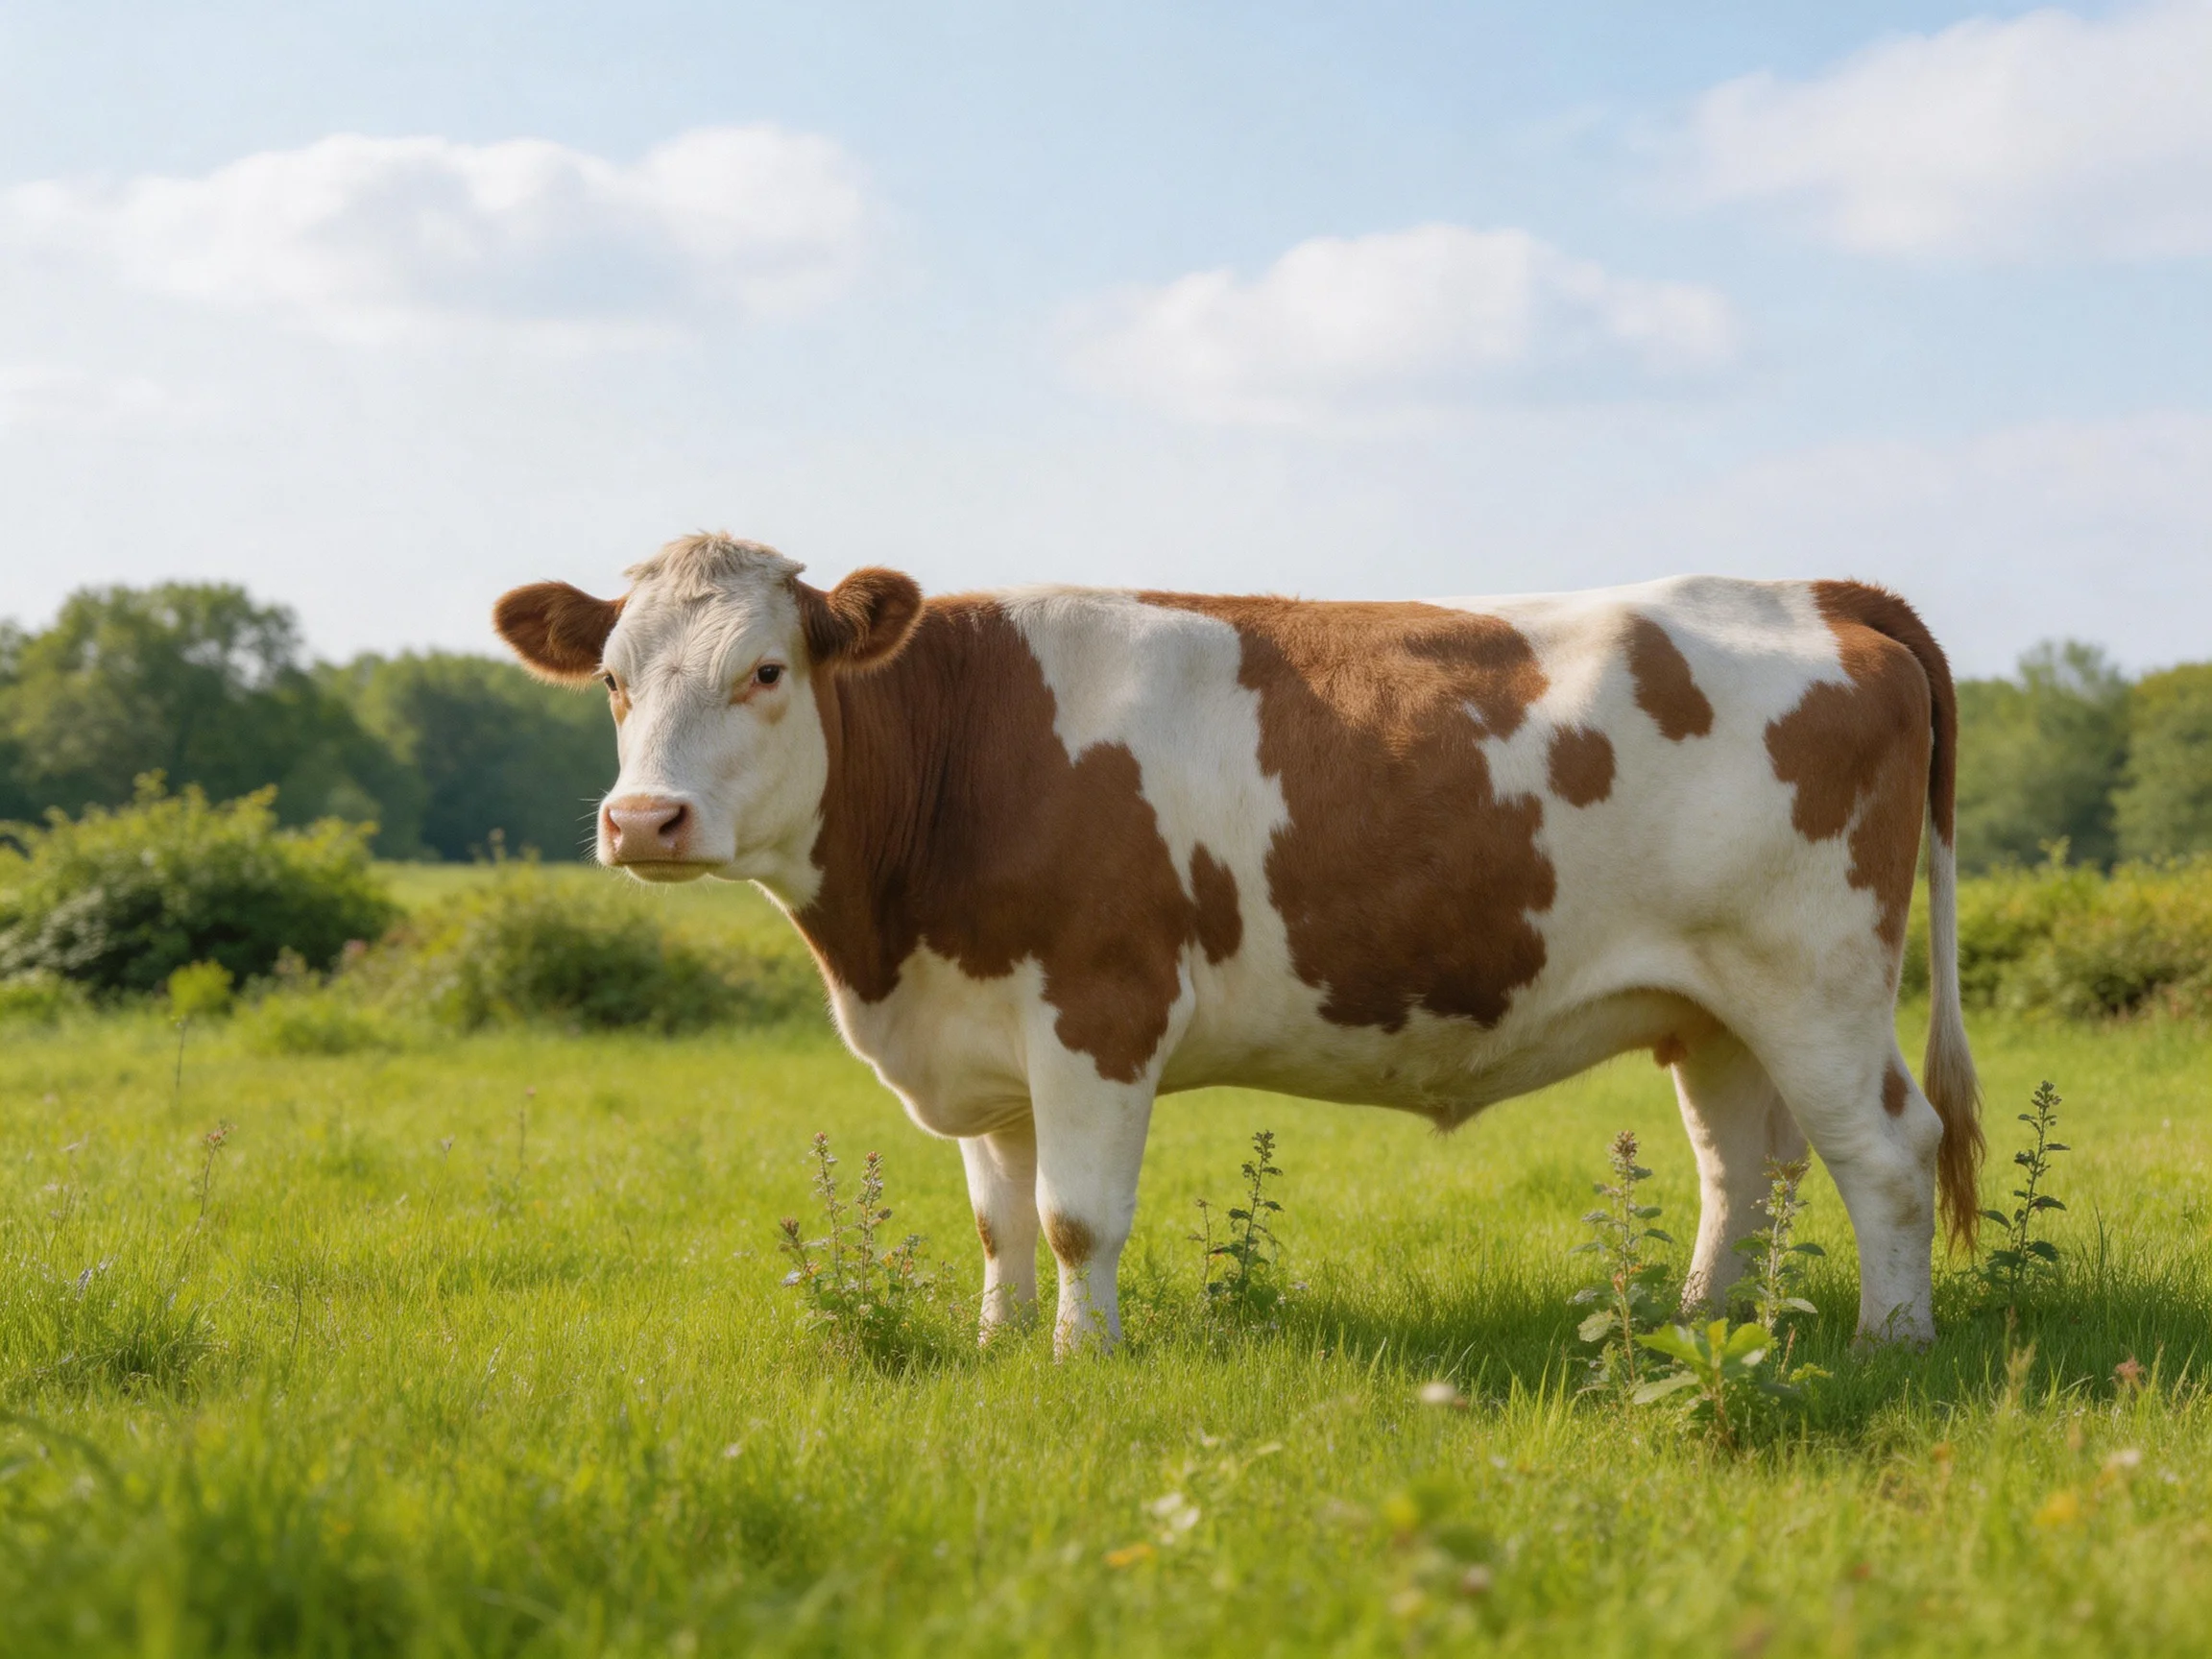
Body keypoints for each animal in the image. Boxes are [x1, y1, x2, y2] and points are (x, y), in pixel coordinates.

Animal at [495, 533, 1982, 1353]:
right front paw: (995, 1345)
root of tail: (1822, 592)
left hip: (1819, 975)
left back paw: (1891, 1343)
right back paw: (1700, 1327)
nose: (643, 819)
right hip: (1714, 1000)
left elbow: (1075, 1216)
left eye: (765, 671)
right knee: (1749, 1171)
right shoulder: (980, 1031)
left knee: (1888, 1150)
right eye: (613, 680)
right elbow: (996, 1218)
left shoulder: (1099, 1007)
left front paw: (1079, 1363)